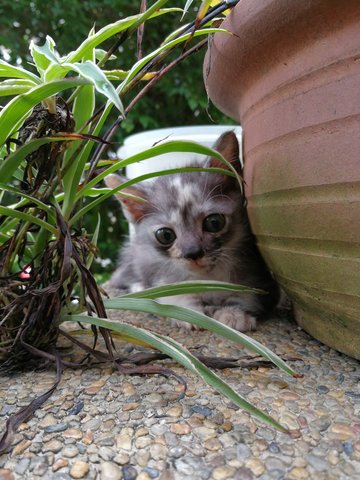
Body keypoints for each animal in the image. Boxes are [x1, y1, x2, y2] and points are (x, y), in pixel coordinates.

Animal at [105, 133, 280, 332]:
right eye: (165, 235)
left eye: (214, 223)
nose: (192, 253)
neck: (207, 277)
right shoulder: (163, 272)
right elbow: (171, 292)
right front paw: (187, 312)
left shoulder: (262, 278)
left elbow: (248, 294)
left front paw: (234, 313)